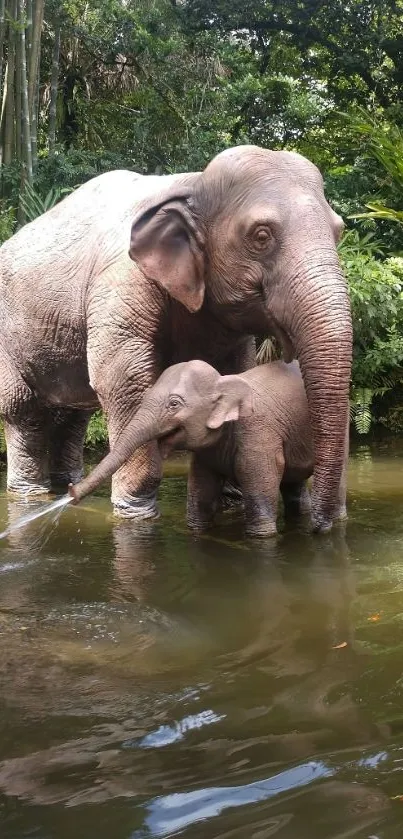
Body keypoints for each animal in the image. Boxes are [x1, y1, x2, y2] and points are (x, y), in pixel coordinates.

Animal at [71, 358, 348, 536]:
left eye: (174, 404)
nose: (71, 492)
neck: (223, 381)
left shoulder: (259, 433)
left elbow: (260, 488)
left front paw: (263, 535)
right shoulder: (206, 452)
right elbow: (200, 492)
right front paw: (198, 529)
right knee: (294, 485)